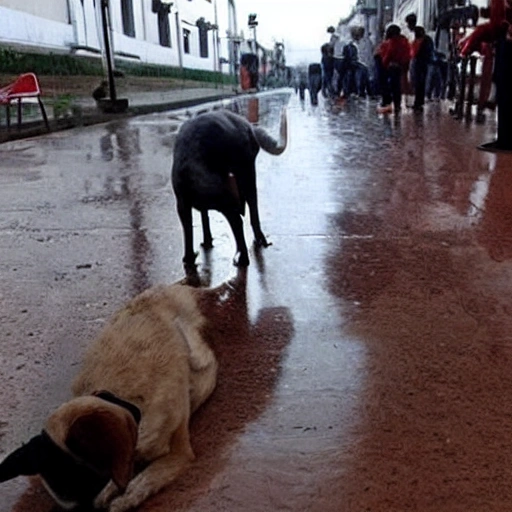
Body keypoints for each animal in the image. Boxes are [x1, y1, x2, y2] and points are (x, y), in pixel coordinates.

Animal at [0, 284, 218, 512]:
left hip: (193, 346)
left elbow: (147, 477)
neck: (123, 399)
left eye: (90, 485)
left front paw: (125, 497)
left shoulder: (179, 452)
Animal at [173, 108, 288, 268]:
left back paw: (246, 253)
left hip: (244, 176)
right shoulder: (184, 203)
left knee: (242, 215)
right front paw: (198, 249)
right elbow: (192, 224)